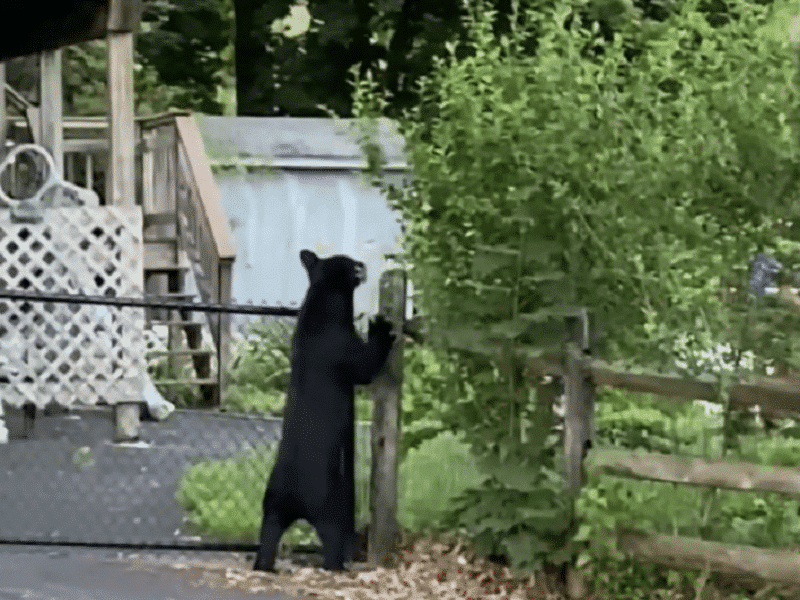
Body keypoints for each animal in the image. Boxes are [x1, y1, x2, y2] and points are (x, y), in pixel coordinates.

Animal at [253, 249, 395, 572]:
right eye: (351, 262)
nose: (362, 264)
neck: (323, 297)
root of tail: (293, 495)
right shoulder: (346, 350)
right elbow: (366, 365)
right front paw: (382, 326)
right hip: (330, 507)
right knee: (332, 537)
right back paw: (338, 566)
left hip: (272, 507)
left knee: (268, 536)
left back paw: (265, 565)